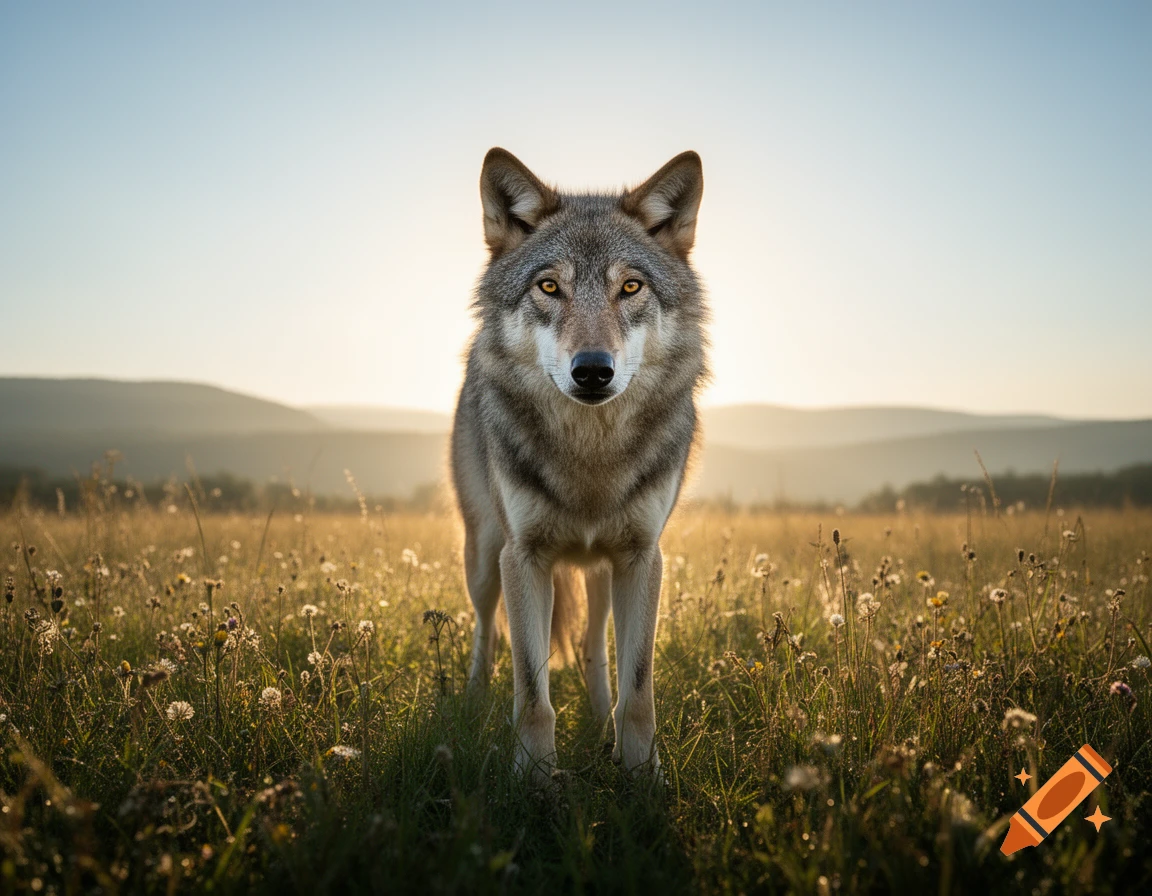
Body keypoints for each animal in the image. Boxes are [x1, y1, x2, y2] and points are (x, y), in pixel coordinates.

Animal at [451, 147, 708, 782]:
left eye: (630, 286)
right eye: (550, 286)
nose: (593, 370)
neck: (590, 460)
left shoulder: (643, 557)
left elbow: (637, 690)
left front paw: (642, 778)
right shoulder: (523, 558)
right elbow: (530, 689)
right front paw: (535, 780)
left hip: (600, 572)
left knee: (594, 648)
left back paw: (597, 723)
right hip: (484, 555)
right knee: (485, 630)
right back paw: (471, 700)